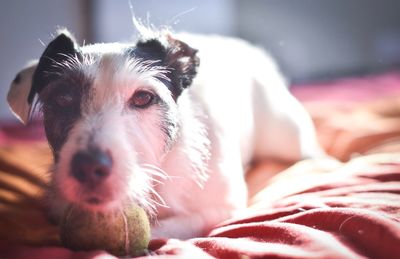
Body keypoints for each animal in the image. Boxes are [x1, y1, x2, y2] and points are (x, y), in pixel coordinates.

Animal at [6, 24, 322, 240]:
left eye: (143, 98)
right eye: (62, 99)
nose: (87, 167)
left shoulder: (223, 207)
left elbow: (168, 227)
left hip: (288, 136)